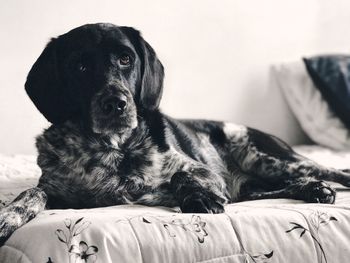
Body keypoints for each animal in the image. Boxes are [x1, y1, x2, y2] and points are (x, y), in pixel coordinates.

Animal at [0, 22, 350, 245]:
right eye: (80, 66)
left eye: (126, 58)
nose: (116, 104)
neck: (115, 150)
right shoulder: (59, 191)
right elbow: (33, 192)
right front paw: (10, 215)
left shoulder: (205, 172)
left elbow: (182, 176)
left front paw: (199, 197)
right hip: (256, 179)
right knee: (267, 190)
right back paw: (313, 190)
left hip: (268, 158)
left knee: (331, 171)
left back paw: (320, 184)